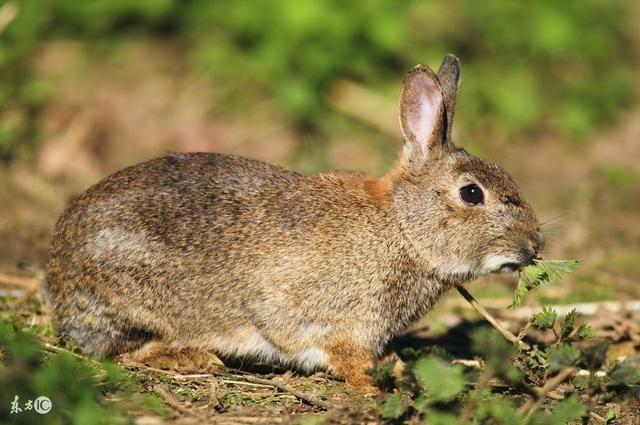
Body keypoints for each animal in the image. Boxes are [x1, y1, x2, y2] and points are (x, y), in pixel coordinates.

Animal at [42, 54, 544, 390]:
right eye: (472, 193)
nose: (533, 245)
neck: (401, 228)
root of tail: (57, 275)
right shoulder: (329, 319)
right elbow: (340, 353)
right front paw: (376, 382)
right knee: (129, 351)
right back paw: (200, 360)